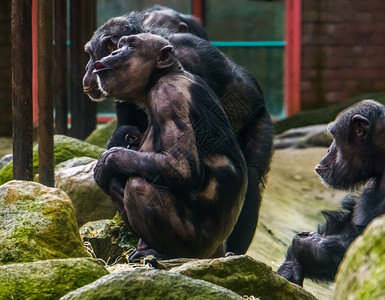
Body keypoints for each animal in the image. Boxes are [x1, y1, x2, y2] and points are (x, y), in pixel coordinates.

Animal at [83, 7, 272, 255]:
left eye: (89, 53)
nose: (88, 68)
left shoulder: (188, 66)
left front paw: (107, 164)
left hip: (260, 120)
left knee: (252, 173)